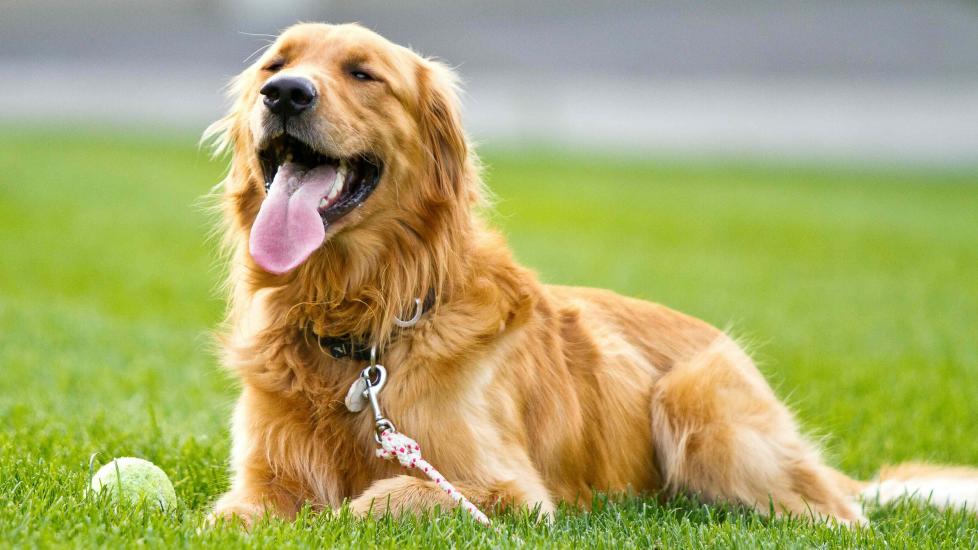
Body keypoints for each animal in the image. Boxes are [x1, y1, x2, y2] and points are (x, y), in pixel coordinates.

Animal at [202, 23, 972, 528]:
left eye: (363, 73)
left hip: (701, 405)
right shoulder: (261, 477)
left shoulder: (506, 490)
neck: (362, 326)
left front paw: (343, 512)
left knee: (838, 516)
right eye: (275, 64)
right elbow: (232, 515)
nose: (285, 94)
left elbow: (379, 503)